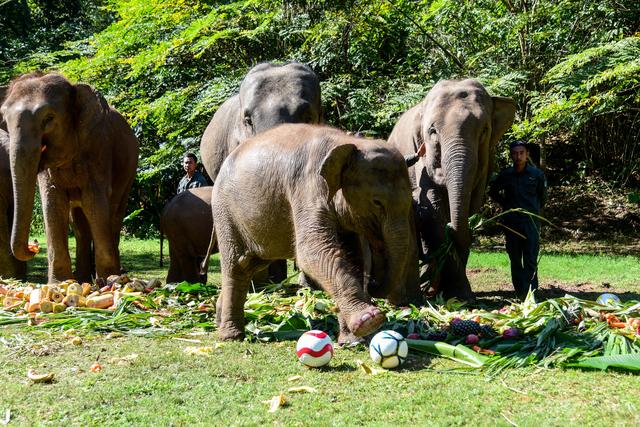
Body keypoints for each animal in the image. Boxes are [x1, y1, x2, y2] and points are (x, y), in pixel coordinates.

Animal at [0, 72, 139, 284]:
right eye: (4, 120)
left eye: (49, 118)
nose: (34, 245)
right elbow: (53, 203)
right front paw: (60, 283)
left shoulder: (99, 148)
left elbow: (94, 203)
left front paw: (109, 280)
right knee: (80, 225)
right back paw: (83, 278)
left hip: (129, 171)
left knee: (114, 214)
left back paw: (111, 276)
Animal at [205, 123, 420, 344]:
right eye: (377, 202)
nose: (374, 285)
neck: (349, 142)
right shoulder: (308, 187)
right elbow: (313, 251)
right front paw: (370, 320)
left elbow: (354, 258)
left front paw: (351, 341)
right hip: (225, 212)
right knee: (237, 265)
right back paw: (231, 336)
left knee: (250, 264)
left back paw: (218, 320)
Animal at [388, 80, 516, 300]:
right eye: (432, 131)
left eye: (484, 130)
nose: (450, 226)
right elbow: (431, 209)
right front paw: (457, 294)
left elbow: (471, 207)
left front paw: (460, 295)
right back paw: (428, 287)